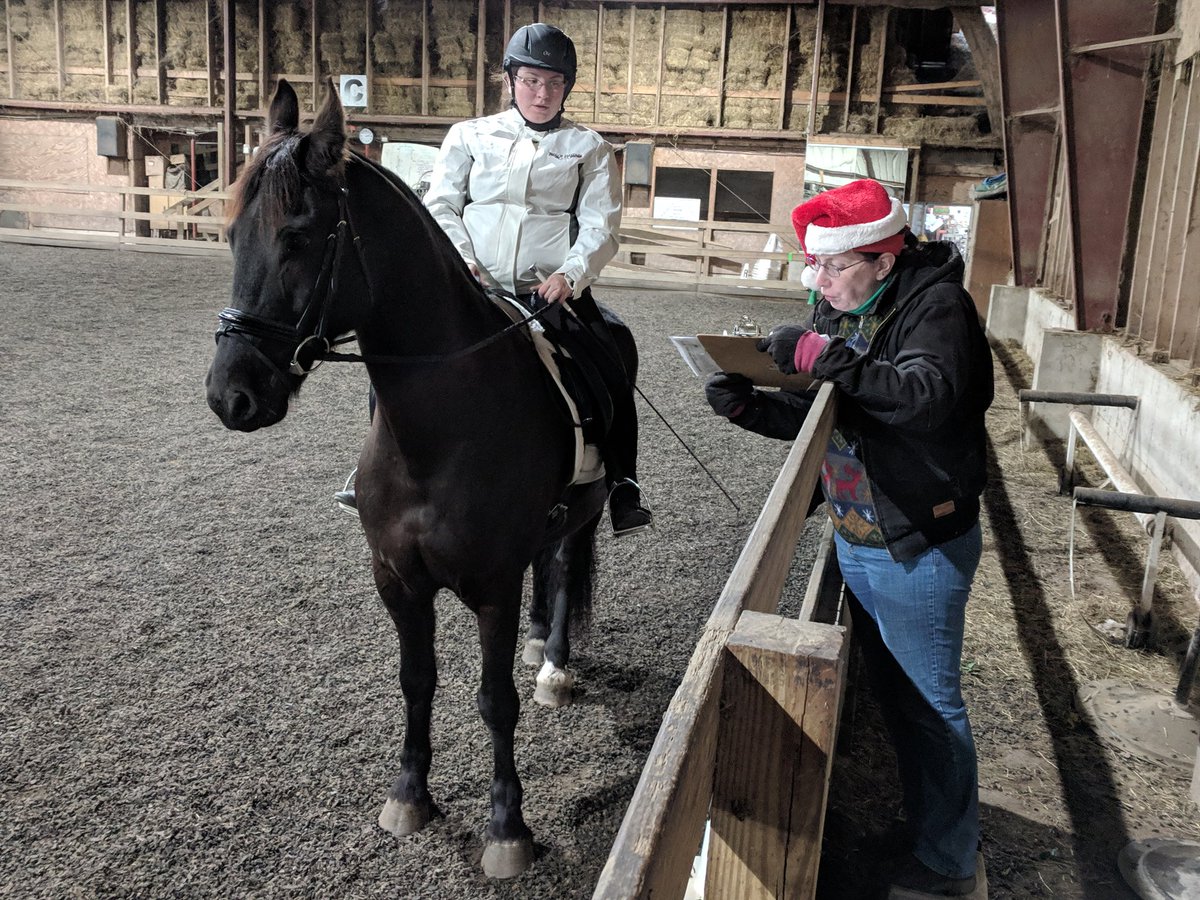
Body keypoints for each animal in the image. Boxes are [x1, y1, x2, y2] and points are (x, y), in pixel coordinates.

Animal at [204, 78, 638, 879]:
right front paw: (409, 796)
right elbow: (417, 681)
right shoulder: (397, 579)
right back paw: (540, 645)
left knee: (565, 569)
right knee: (548, 566)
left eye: (298, 238)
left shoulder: (491, 585)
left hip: (590, 511)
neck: (441, 427)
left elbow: (495, 700)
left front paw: (507, 828)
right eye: (232, 236)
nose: (231, 395)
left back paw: (555, 666)